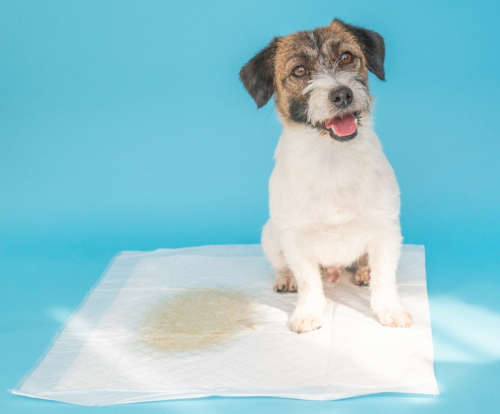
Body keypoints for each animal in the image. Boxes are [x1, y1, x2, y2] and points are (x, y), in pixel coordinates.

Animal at [240, 18, 412, 334]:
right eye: (299, 71)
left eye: (346, 57)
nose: (342, 93)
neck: (333, 157)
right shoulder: (295, 238)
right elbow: (308, 281)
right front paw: (308, 313)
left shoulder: (386, 230)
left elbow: (385, 277)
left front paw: (389, 309)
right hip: (270, 235)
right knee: (285, 265)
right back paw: (286, 278)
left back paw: (363, 272)